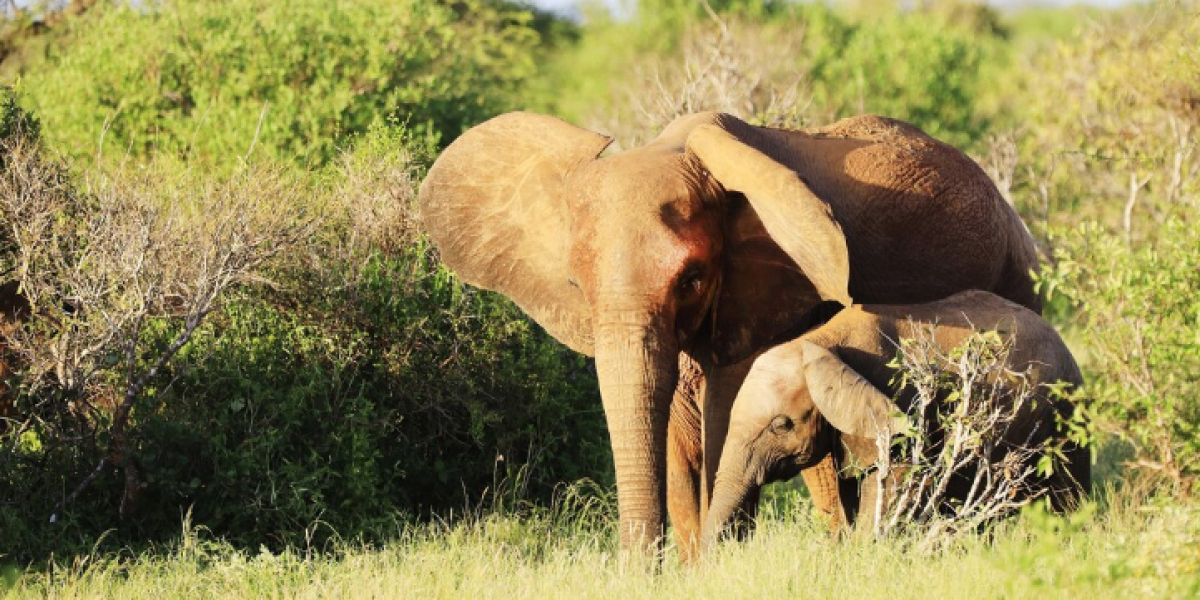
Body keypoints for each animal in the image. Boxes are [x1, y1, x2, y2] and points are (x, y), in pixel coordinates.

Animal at [417, 110, 1036, 554]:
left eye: (692, 279)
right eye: (574, 284)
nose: (641, 572)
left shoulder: (764, 291)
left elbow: (726, 419)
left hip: (1015, 274)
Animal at [700, 290, 1089, 549]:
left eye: (781, 425)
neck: (819, 340)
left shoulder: (901, 397)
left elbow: (889, 485)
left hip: (1065, 415)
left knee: (1068, 493)